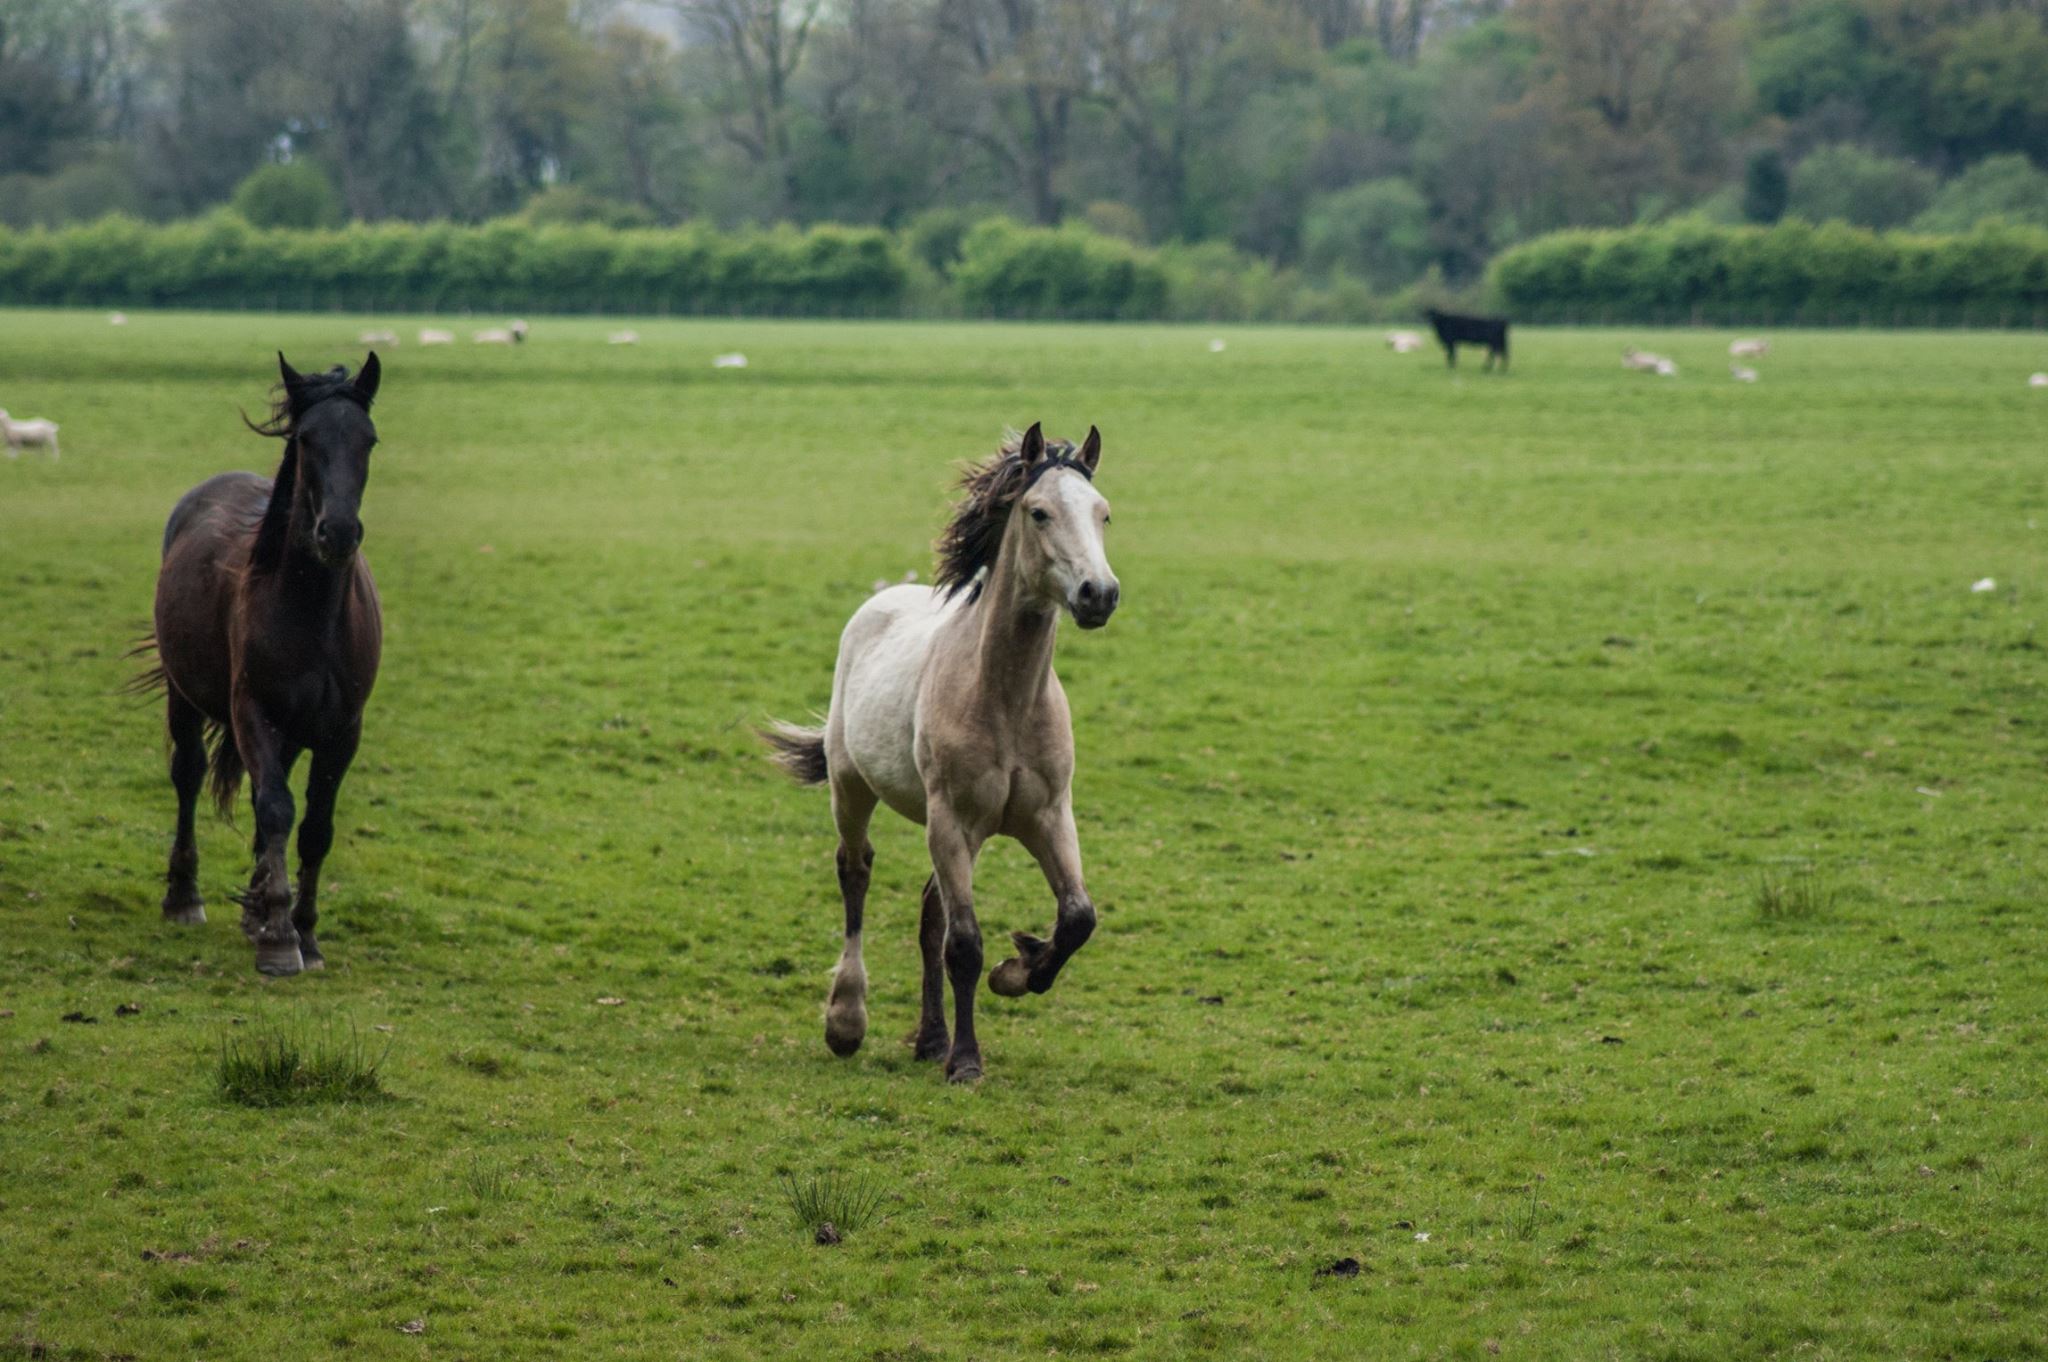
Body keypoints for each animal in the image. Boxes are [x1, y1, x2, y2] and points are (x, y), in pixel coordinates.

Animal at [142, 346, 389, 970]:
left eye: (369, 439)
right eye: (305, 438)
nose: (337, 533)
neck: (312, 613)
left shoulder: (342, 731)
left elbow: (315, 827)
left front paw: (302, 931)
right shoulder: (253, 711)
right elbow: (277, 807)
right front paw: (279, 938)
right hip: (185, 696)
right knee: (189, 775)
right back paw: (185, 897)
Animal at [770, 426, 1122, 1081]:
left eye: (1103, 513)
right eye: (1038, 512)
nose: (1099, 595)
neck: (1004, 698)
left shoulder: (1048, 816)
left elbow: (1077, 917)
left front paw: (1018, 971)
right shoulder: (952, 820)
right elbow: (964, 944)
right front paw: (966, 1062)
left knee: (930, 910)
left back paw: (930, 1037)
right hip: (854, 790)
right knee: (856, 873)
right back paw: (847, 1022)